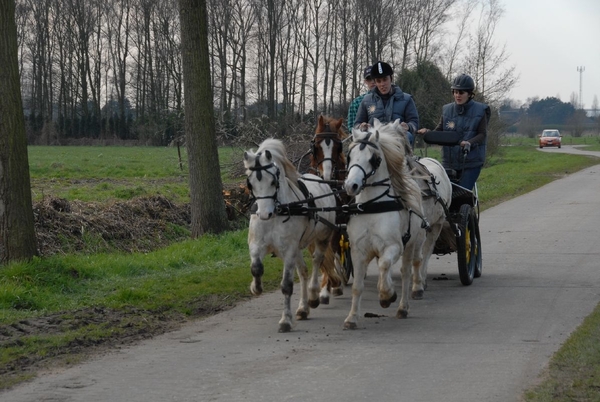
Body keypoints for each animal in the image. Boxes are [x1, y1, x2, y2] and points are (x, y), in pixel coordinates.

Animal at [243, 138, 338, 332]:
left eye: (273, 181)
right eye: (250, 183)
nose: (264, 214)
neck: (278, 211)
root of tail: (321, 179)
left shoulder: (288, 250)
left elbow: (286, 286)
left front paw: (285, 320)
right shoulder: (257, 245)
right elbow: (256, 268)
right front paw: (255, 287)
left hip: (322, 238)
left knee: (317, 261)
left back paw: (314, 295)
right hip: (298, 247)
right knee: (303, 271)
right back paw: (303, 308)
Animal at [342, 126, 426, 330]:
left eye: (375, 159)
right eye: (349, 156)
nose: (351, 185)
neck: (372, 207)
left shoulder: (394, 246)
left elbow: (384, 265)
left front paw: (387, 295)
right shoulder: (358, 251)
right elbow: (357, 286)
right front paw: (352, 318)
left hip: (411, 244)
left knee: (406, 273)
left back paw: (403, 307)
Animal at [372, 119, 452, 298]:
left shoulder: (419, 229)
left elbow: (417, 257)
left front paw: (416, 287)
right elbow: (383, 258)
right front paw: (384, 287)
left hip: (437, 224)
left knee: (426, 251)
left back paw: (422, 279)